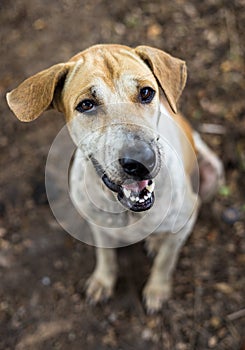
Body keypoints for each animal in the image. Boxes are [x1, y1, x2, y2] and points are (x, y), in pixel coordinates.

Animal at [5, 44, 224, 314]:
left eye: (146, 93)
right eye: (86, 104)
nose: (141, 161)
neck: (127, 211)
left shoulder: (184, 222)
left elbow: (166, 260)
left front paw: (157, 289)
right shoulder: (97, 225)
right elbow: (106, 256)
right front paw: (103, 281)